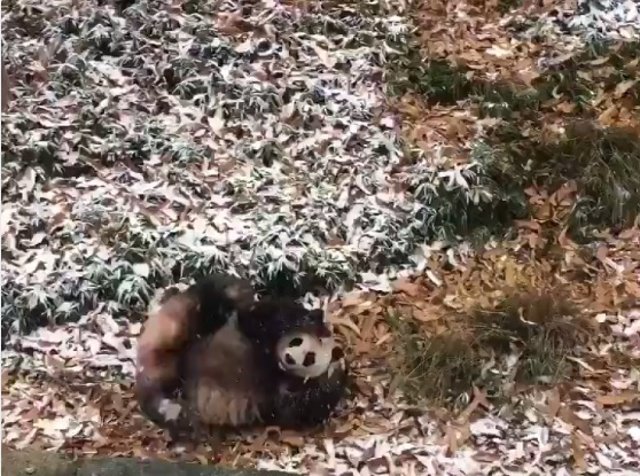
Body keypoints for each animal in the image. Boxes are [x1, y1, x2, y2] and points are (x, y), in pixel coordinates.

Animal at [132, 272, 348, 438]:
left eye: (309, 357)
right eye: (297, 342)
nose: (290, 357)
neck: (273, 360)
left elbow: (296, 407)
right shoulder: (272, 317)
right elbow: (261, 318)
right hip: (179, 323)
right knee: (218, 294)